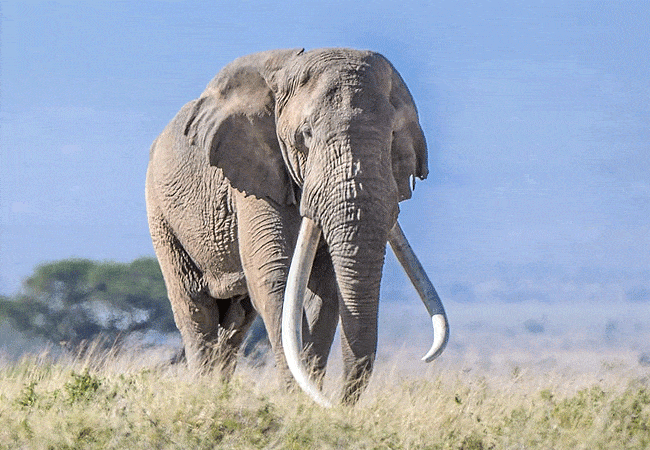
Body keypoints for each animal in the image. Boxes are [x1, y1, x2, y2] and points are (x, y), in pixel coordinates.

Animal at [144, 47, 448, 406]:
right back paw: (204, 393)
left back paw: (220, 391)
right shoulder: (253, 173)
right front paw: (299, 400)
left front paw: (308, 397)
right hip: (160, 210)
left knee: (237, 319)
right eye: (306, 135)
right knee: (194, 306)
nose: (339, 404)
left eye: (391, 137)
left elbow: (327, 291)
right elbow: (275, 277)